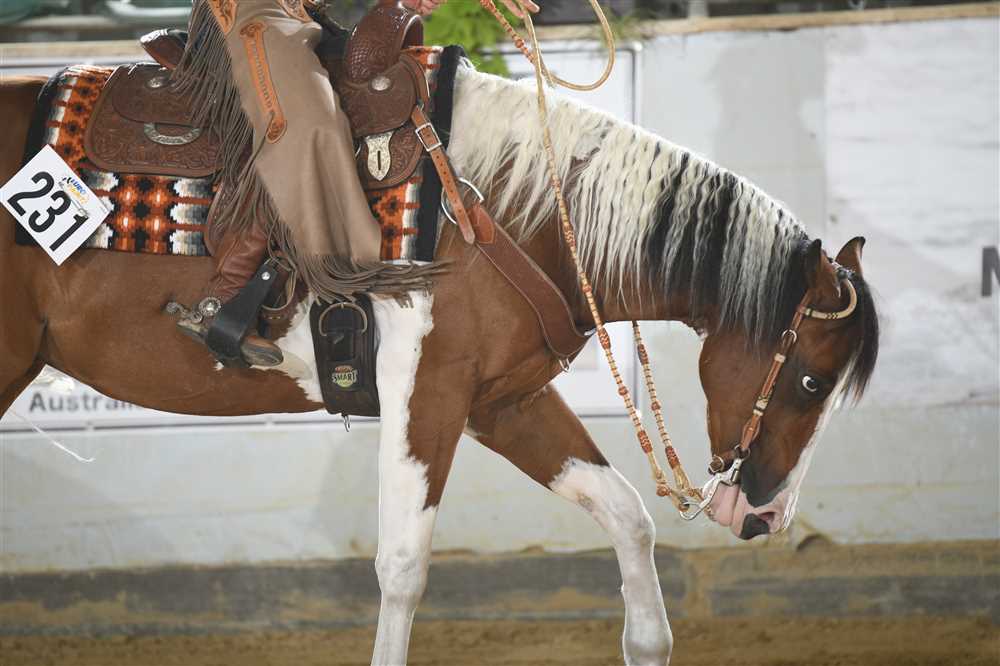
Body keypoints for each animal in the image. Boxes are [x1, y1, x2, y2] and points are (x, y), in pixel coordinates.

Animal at [0, 62, 879, 665]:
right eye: (809, 380)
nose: (766, 518)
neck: (509, 213)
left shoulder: (502, 403)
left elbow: (628, 516)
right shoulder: (426, 394)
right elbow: (402, 567)